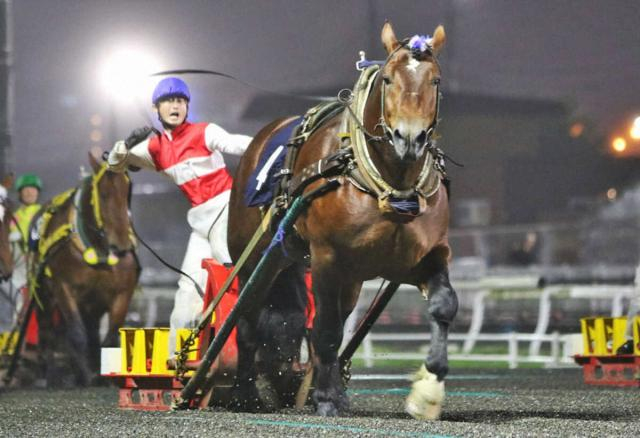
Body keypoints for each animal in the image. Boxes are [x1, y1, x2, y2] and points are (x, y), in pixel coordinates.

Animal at [31, 150, 140, 386]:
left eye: (127, 192)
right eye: (104, 194)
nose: (122, 246)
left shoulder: (122, 290)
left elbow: (110, 336)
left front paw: (104, 375)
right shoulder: (63, 287)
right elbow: (75, 333)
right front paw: (84, 375)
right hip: (43, 292)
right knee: (47, 328)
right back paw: (49, 373)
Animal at [228, 22, 456, 420]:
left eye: (435, 80)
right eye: (388, 79)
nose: (410, 138)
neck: (392, 188)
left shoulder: (426, 254)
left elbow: (444, 304)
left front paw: (428, 390)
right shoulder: (327, 257)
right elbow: (326, 330)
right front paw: (324, 398)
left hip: (346, 275)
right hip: (257, 256)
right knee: (248, 319)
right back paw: (245, 393)